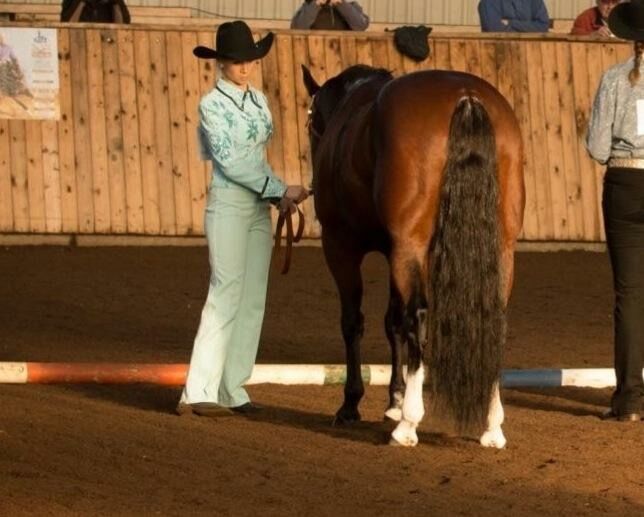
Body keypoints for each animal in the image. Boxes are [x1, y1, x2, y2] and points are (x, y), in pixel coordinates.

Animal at [302, 62, 524, 446]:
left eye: (311, 120)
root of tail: (466, 96)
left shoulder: (342, 246)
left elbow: (354, 321)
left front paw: (353, 404)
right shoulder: (395, 249)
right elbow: (392, 322)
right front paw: (393, 399)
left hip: (409, 245)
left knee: (418, 315)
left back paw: (408, 424)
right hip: (500, 247)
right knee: (494, 317)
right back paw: (492, 426)